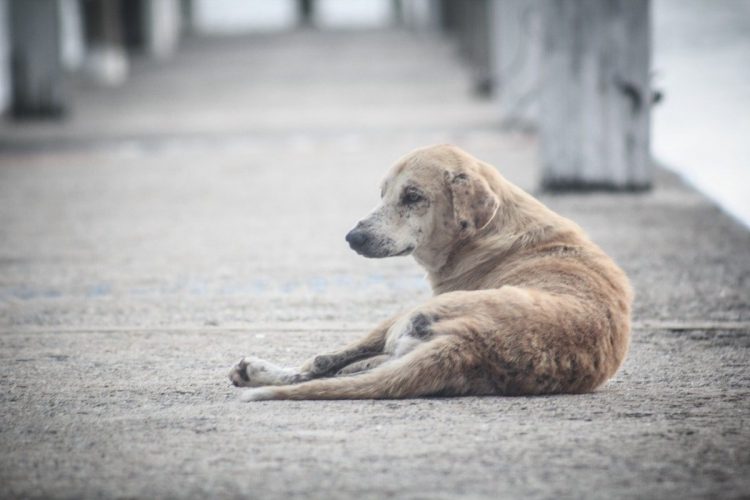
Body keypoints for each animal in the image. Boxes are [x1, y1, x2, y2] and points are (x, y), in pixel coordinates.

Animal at [231, 145, 636, 402]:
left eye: (413, 196)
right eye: (383, 193)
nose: (352, 238)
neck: (489, 230)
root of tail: (469, 345)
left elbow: (325, 359)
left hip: (409, 316)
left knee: (322, 368)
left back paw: (259, 372)